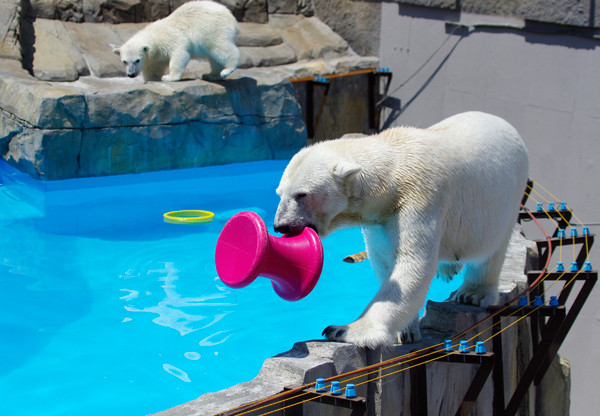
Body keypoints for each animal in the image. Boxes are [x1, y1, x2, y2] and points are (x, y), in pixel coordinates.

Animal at [274, 110, 528, 348]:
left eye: (301, 194)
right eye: (280, 193)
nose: (280, 225)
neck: (392, 175)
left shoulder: (420, 200)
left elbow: (412, 262)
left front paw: (344, 330)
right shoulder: (379, 221)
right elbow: (385, 262)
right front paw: (405, 331)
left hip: (508, 195)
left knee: (491, 252)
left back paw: (472, 293)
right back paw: (448, 268)